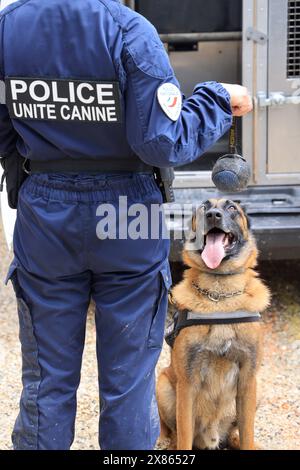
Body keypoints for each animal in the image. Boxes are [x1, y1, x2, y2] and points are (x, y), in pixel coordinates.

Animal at [157, 199, 270, 452]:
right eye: (203, 207)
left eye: (232, 209)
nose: (213, 215)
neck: (221, 297)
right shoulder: (187, 384)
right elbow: (184, 437)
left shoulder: (248, 380)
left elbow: (247, 434)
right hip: (163, 384)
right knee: (172, 431)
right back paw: (163, 441)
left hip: (256, 391)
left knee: (236, 433)